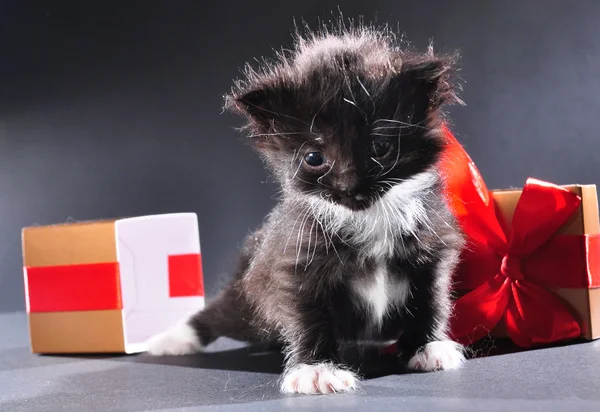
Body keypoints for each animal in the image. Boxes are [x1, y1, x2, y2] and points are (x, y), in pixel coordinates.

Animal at [148, 23, 466, 396]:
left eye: (380, 148)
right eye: (314, 158)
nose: (350, 188)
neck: (368, 218)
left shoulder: (432, 250)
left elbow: (430, 300)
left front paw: (428, 347)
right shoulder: (297, 262)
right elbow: (309, 316)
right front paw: (316, 370)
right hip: (247, 301)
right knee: (220, 312)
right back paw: (170, 340)